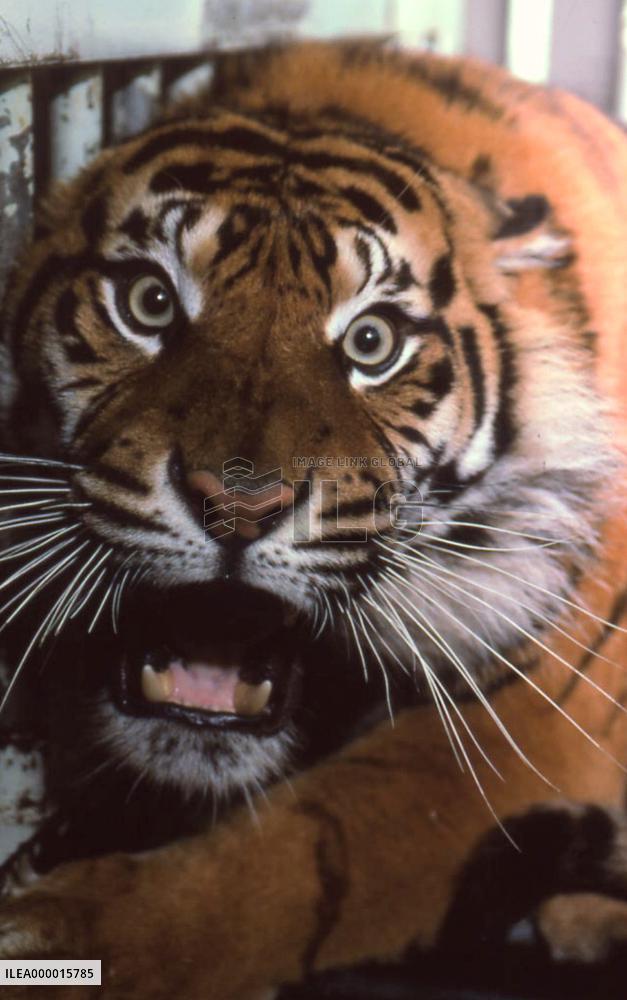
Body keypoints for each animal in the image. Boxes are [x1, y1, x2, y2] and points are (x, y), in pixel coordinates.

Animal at [1, 39, 627, 999]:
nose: (237, 505)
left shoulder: (533, 716)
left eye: (372, 342)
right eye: (148, 302)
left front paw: (66, 935)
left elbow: (299, 853)